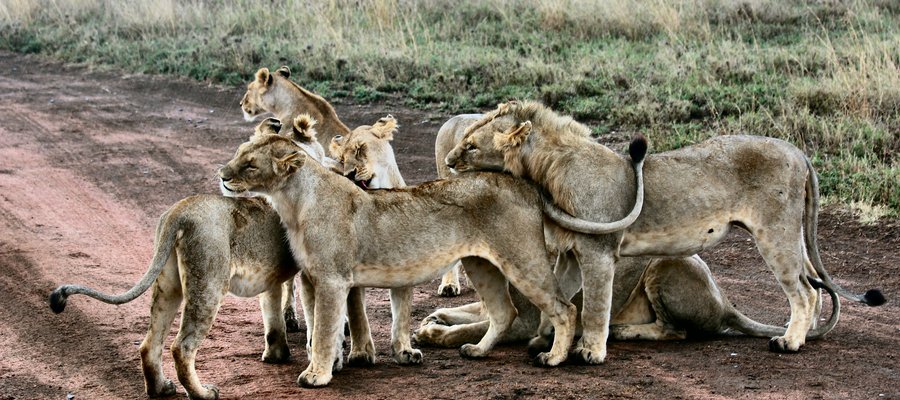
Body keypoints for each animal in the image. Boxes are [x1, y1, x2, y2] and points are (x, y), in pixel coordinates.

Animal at [444, 100, 884, 362]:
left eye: (471, 146)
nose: (448, 161)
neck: (545, 171)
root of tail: (797, 150)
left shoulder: (598, 251)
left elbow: (595, 305)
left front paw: (590, 352)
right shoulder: (571, 253)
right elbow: (563, 299)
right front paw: (549, 341)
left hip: (775, 233)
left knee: (805, 292)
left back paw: (791, 342)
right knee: (812, 288)